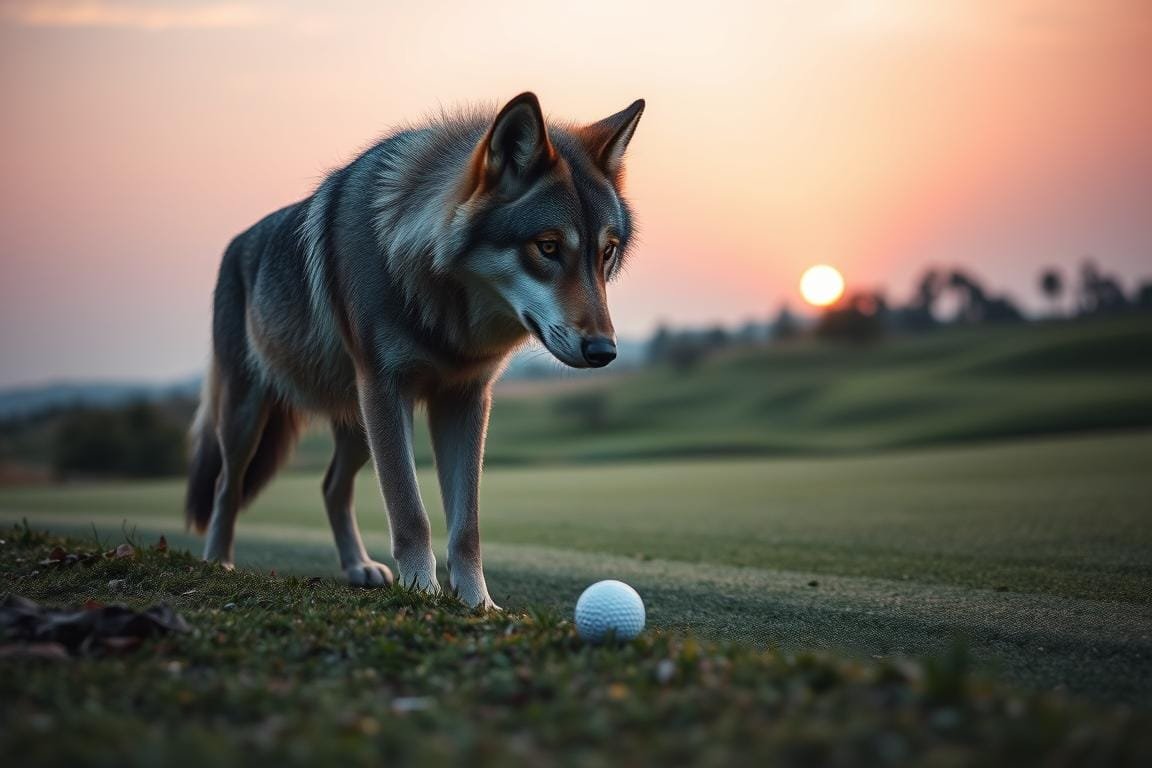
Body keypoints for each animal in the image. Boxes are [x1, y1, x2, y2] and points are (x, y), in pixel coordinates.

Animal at [184, 92, 644, 608]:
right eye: (547, 247)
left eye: (606, 252)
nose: (604, 350)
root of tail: (235, 243)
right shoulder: (387, 390)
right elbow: (410, 512)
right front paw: (422, 593)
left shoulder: (464, 400)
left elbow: (467, 528)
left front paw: (478, 605)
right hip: (252, 415)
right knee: (226, 484)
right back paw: (218, 560)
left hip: (357, 425)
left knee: (331, 487)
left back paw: (358, 567)